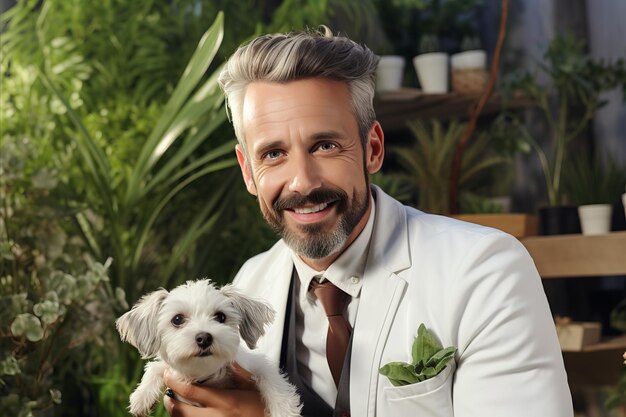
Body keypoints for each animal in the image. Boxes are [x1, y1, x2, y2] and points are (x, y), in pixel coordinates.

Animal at [117, 278, 302, 417]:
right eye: (177, 319)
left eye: (221, 317)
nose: (204, 338)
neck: (203, 373)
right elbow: (156, 367)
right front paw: (142, 395)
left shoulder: (257, 364)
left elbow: (272, 380)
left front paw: (285, 411)